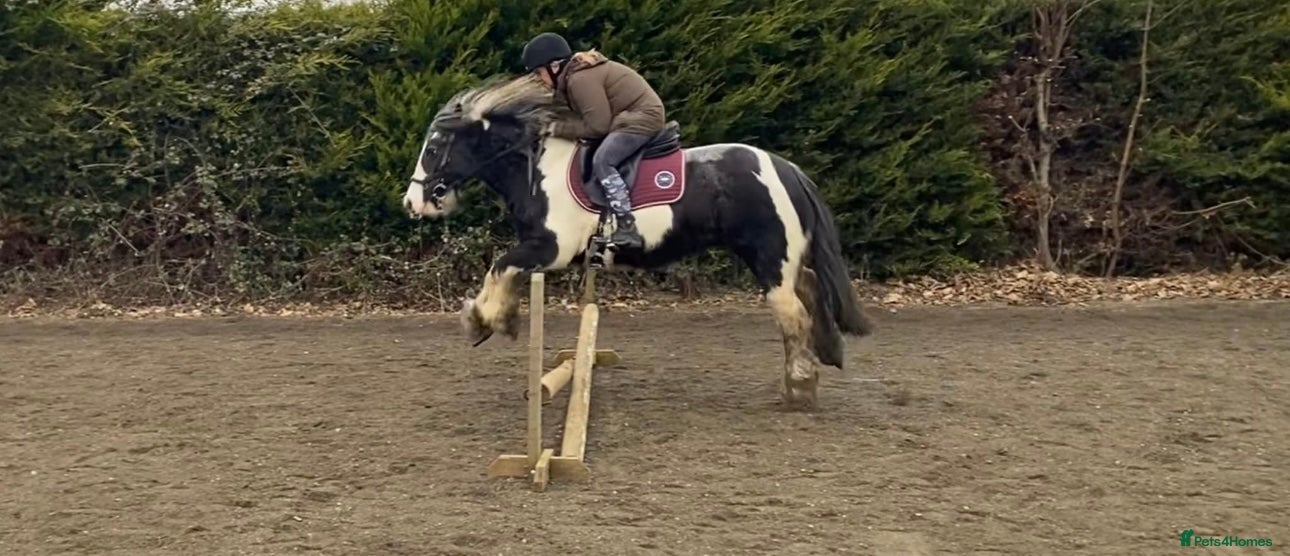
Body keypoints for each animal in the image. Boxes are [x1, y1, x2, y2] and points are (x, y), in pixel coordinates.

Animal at [402, 75, 873, 409]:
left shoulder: (551, 249)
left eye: (434, 147)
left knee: (793, 314)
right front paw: (492, 318)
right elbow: (503, 270)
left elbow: (499, 267)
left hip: (769, 258)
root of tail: (787, 168)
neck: (535, 168)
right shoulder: (541, 251)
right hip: (782, 257)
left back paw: (799, 388)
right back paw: (824, 357)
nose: (412, 202)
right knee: (809, 288)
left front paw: (484, 319)